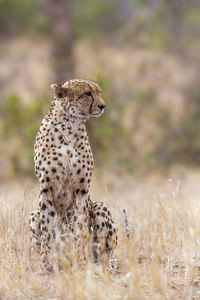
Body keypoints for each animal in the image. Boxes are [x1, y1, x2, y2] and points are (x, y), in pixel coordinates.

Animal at [29, 78, 117, 270]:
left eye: (98, 92)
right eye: (87, 93)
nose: (102, 106)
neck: (70, 127)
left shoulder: (81, 189)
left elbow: (81, 227)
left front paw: (81, 260)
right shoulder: (46, 188)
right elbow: (47, 230)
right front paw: (47, 262)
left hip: (100, 207)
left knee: (104, 253)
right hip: (33, 215)